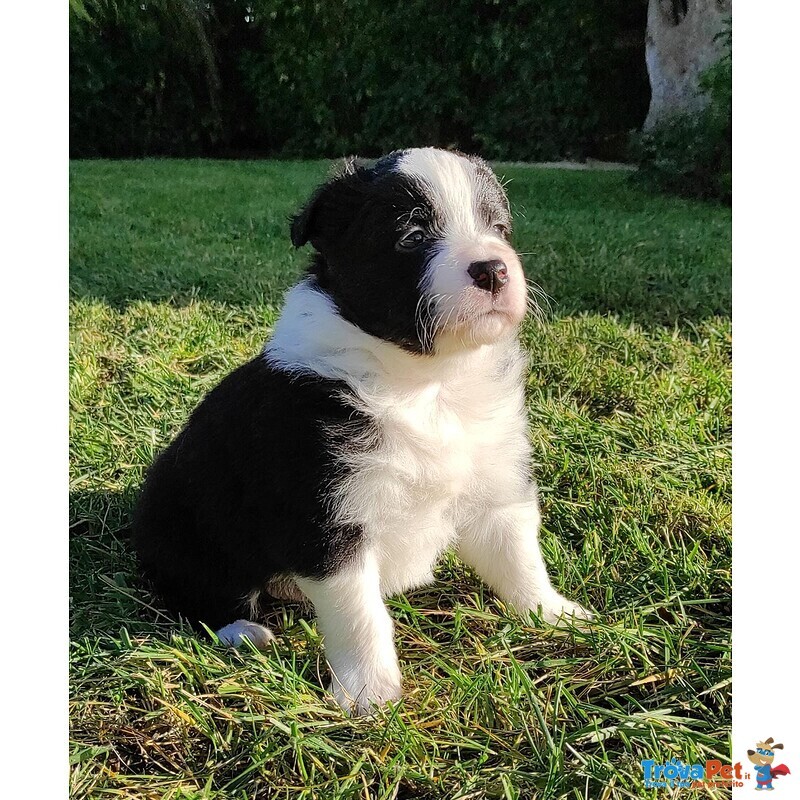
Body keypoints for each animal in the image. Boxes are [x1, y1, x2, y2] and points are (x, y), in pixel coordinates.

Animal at [133, 147, 592, 716]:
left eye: (498, 228)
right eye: (412, 237)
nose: (493, 268)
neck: (427, 384)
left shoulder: (494, 483)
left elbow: (520, 558)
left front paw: (554, 614)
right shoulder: (328, 520)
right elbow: (361, 617)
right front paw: (369, 696)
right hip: (184, 529)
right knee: (195, 592)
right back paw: (243, 631)